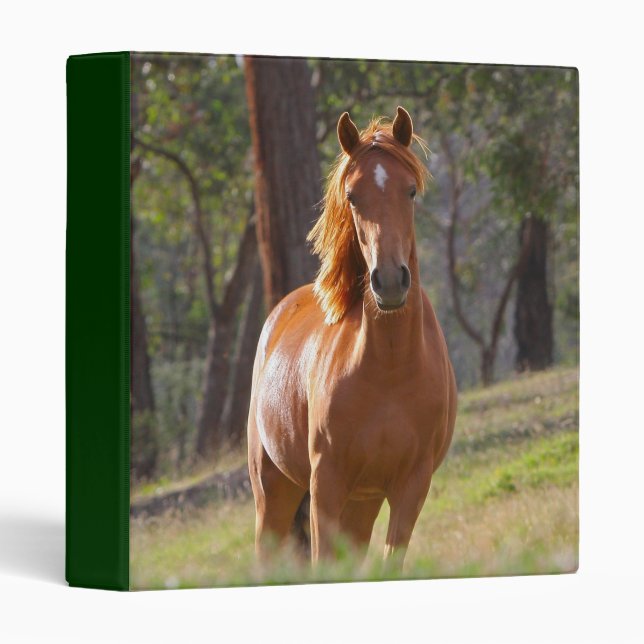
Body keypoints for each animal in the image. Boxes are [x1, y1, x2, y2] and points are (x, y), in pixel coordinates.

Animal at [247, 107, 457, 572]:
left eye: (410, 191)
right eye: (353, 196)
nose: (390, 281)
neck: (391, 367)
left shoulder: (410, 487)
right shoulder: (327, 482)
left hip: (362, 504)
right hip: (274, 491)